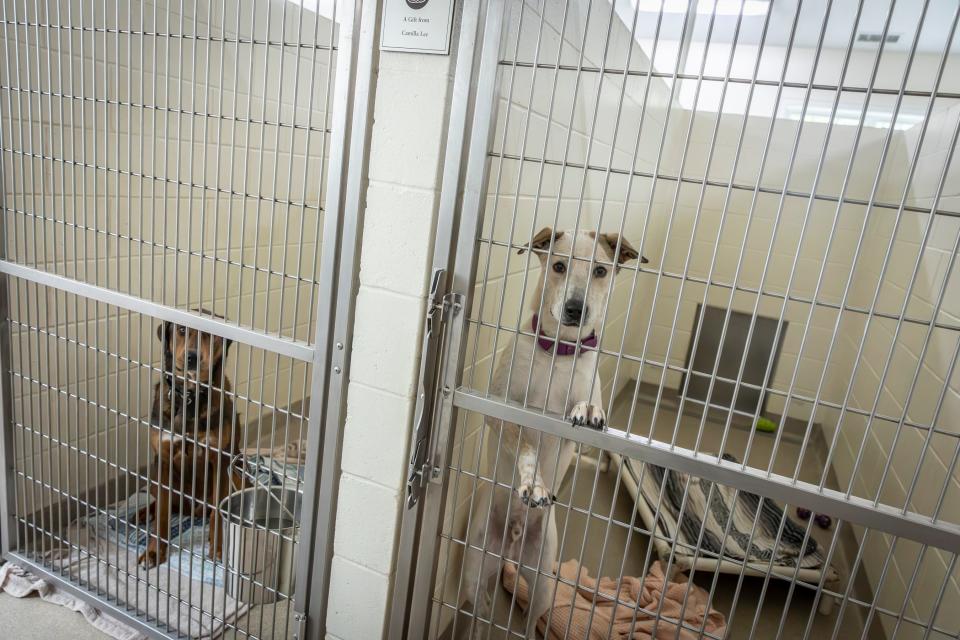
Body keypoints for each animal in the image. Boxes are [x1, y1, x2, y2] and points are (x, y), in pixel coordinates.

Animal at [138, 312, 244, 568]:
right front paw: (154, 551)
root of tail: (192, 510)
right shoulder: (163, 459)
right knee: (163, 504)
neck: (189, 398)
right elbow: (162, 514)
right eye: (181, 330)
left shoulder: (219, 461)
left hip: (237, 476)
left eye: (210, 334)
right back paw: (144, 513)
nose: (192, 357)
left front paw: (217, 549)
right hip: (154, 475)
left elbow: (217, 512)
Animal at [460, 229, 640, 640]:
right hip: (476, 572)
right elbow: (527, 443)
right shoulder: (502, 413)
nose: (576, 308)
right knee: (480, 614)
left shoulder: (582, 433)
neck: (558, 352)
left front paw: (587, 410)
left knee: (530, 623)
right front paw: (535, 484)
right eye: (559, 265)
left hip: (542, 583)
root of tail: (511, 543)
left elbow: (587, 409)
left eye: (601, 271)